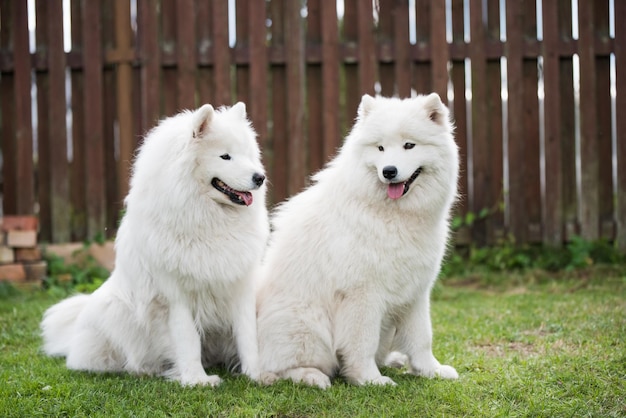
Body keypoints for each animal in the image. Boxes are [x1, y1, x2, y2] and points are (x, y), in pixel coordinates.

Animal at [40, 102, 270, 386]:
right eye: (225, 156)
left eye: (247, 155)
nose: (260, 177)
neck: (207, 221)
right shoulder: (176, 295)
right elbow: (188, 339)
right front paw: (197, 380)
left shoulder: (240, 287)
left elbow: (248, 336)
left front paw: (256, 375)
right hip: (115, 314)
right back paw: (144, 369)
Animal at [255, 94, 458, 388]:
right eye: (380, 148)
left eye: (409, 145)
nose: (389, 171)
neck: (391, 214)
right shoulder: (362, 294)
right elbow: (363, 343)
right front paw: (369, 379)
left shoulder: (416, 292)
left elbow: (422, 338)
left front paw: (431, 370)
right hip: (308, 324)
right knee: (276, 369)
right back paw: (311, 376)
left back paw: (394, 360)